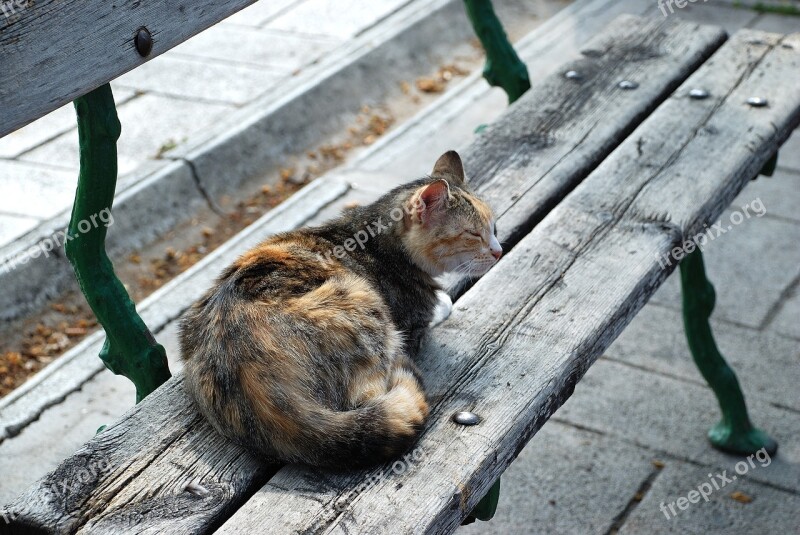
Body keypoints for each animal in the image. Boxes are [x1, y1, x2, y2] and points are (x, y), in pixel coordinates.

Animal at [182, 152, 504, 468]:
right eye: (473, 234)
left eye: (494, 228)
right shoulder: (413, 324)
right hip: (362, 301)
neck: (375, 242)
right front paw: (444, 302)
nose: (498, 251)